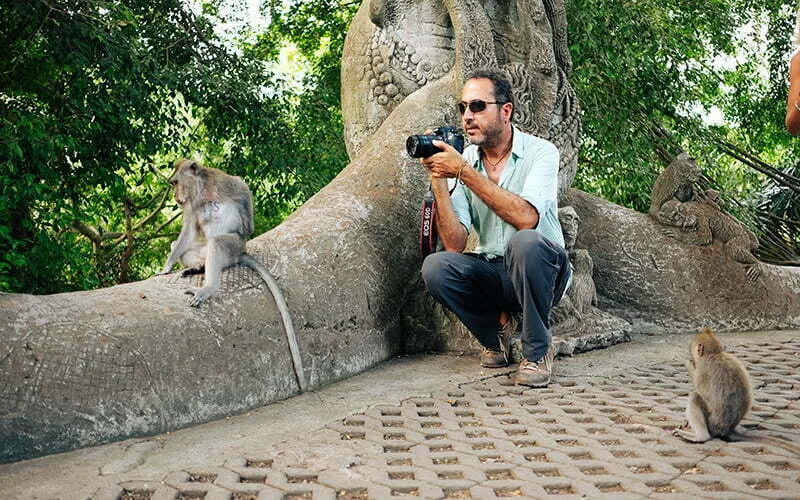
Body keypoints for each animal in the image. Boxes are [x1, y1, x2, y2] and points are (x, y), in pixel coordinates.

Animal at [158, 159, 308, 392]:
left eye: (174, 182)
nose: (175, 196)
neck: (202, 190)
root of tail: (239, 255)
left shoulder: (222, 181)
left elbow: (242, 187)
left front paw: (248, 227)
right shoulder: (192, 205)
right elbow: (188, 232)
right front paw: (167, 266)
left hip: (232, 248)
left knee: (217, 243)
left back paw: (209, 286)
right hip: (204, 250)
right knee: (185, 247)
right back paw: (198, 267)